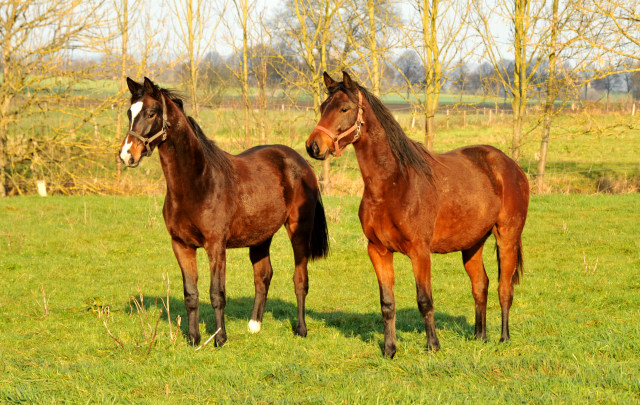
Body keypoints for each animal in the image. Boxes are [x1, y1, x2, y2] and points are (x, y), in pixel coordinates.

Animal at [119, 77, 330, 346]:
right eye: (129, 113)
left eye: (151, 113)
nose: (127, 155)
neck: (198, 182)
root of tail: (302, 164)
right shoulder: (181, 245)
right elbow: (191, 294)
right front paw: (193, 338)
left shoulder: (216, 246)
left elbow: (216, 293)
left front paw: (220, 338)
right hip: (261, 236)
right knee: (263, 276)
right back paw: (254, 325)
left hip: (298, 231)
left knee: (300, 279)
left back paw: (301, 329)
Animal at [304, 72, 528, 356]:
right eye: (323, 107)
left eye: (344, 108)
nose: (313, 146)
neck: (395, 184)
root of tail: (512, 166)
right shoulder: (378, 250)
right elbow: (387, 303)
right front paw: (389, 349)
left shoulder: (420, 251)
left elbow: (424, 300)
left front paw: (433, 345)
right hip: (472, 244)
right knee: (481, 286)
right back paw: (480, 337)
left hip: (507, 238)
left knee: (504, 288)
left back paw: (504, 338)